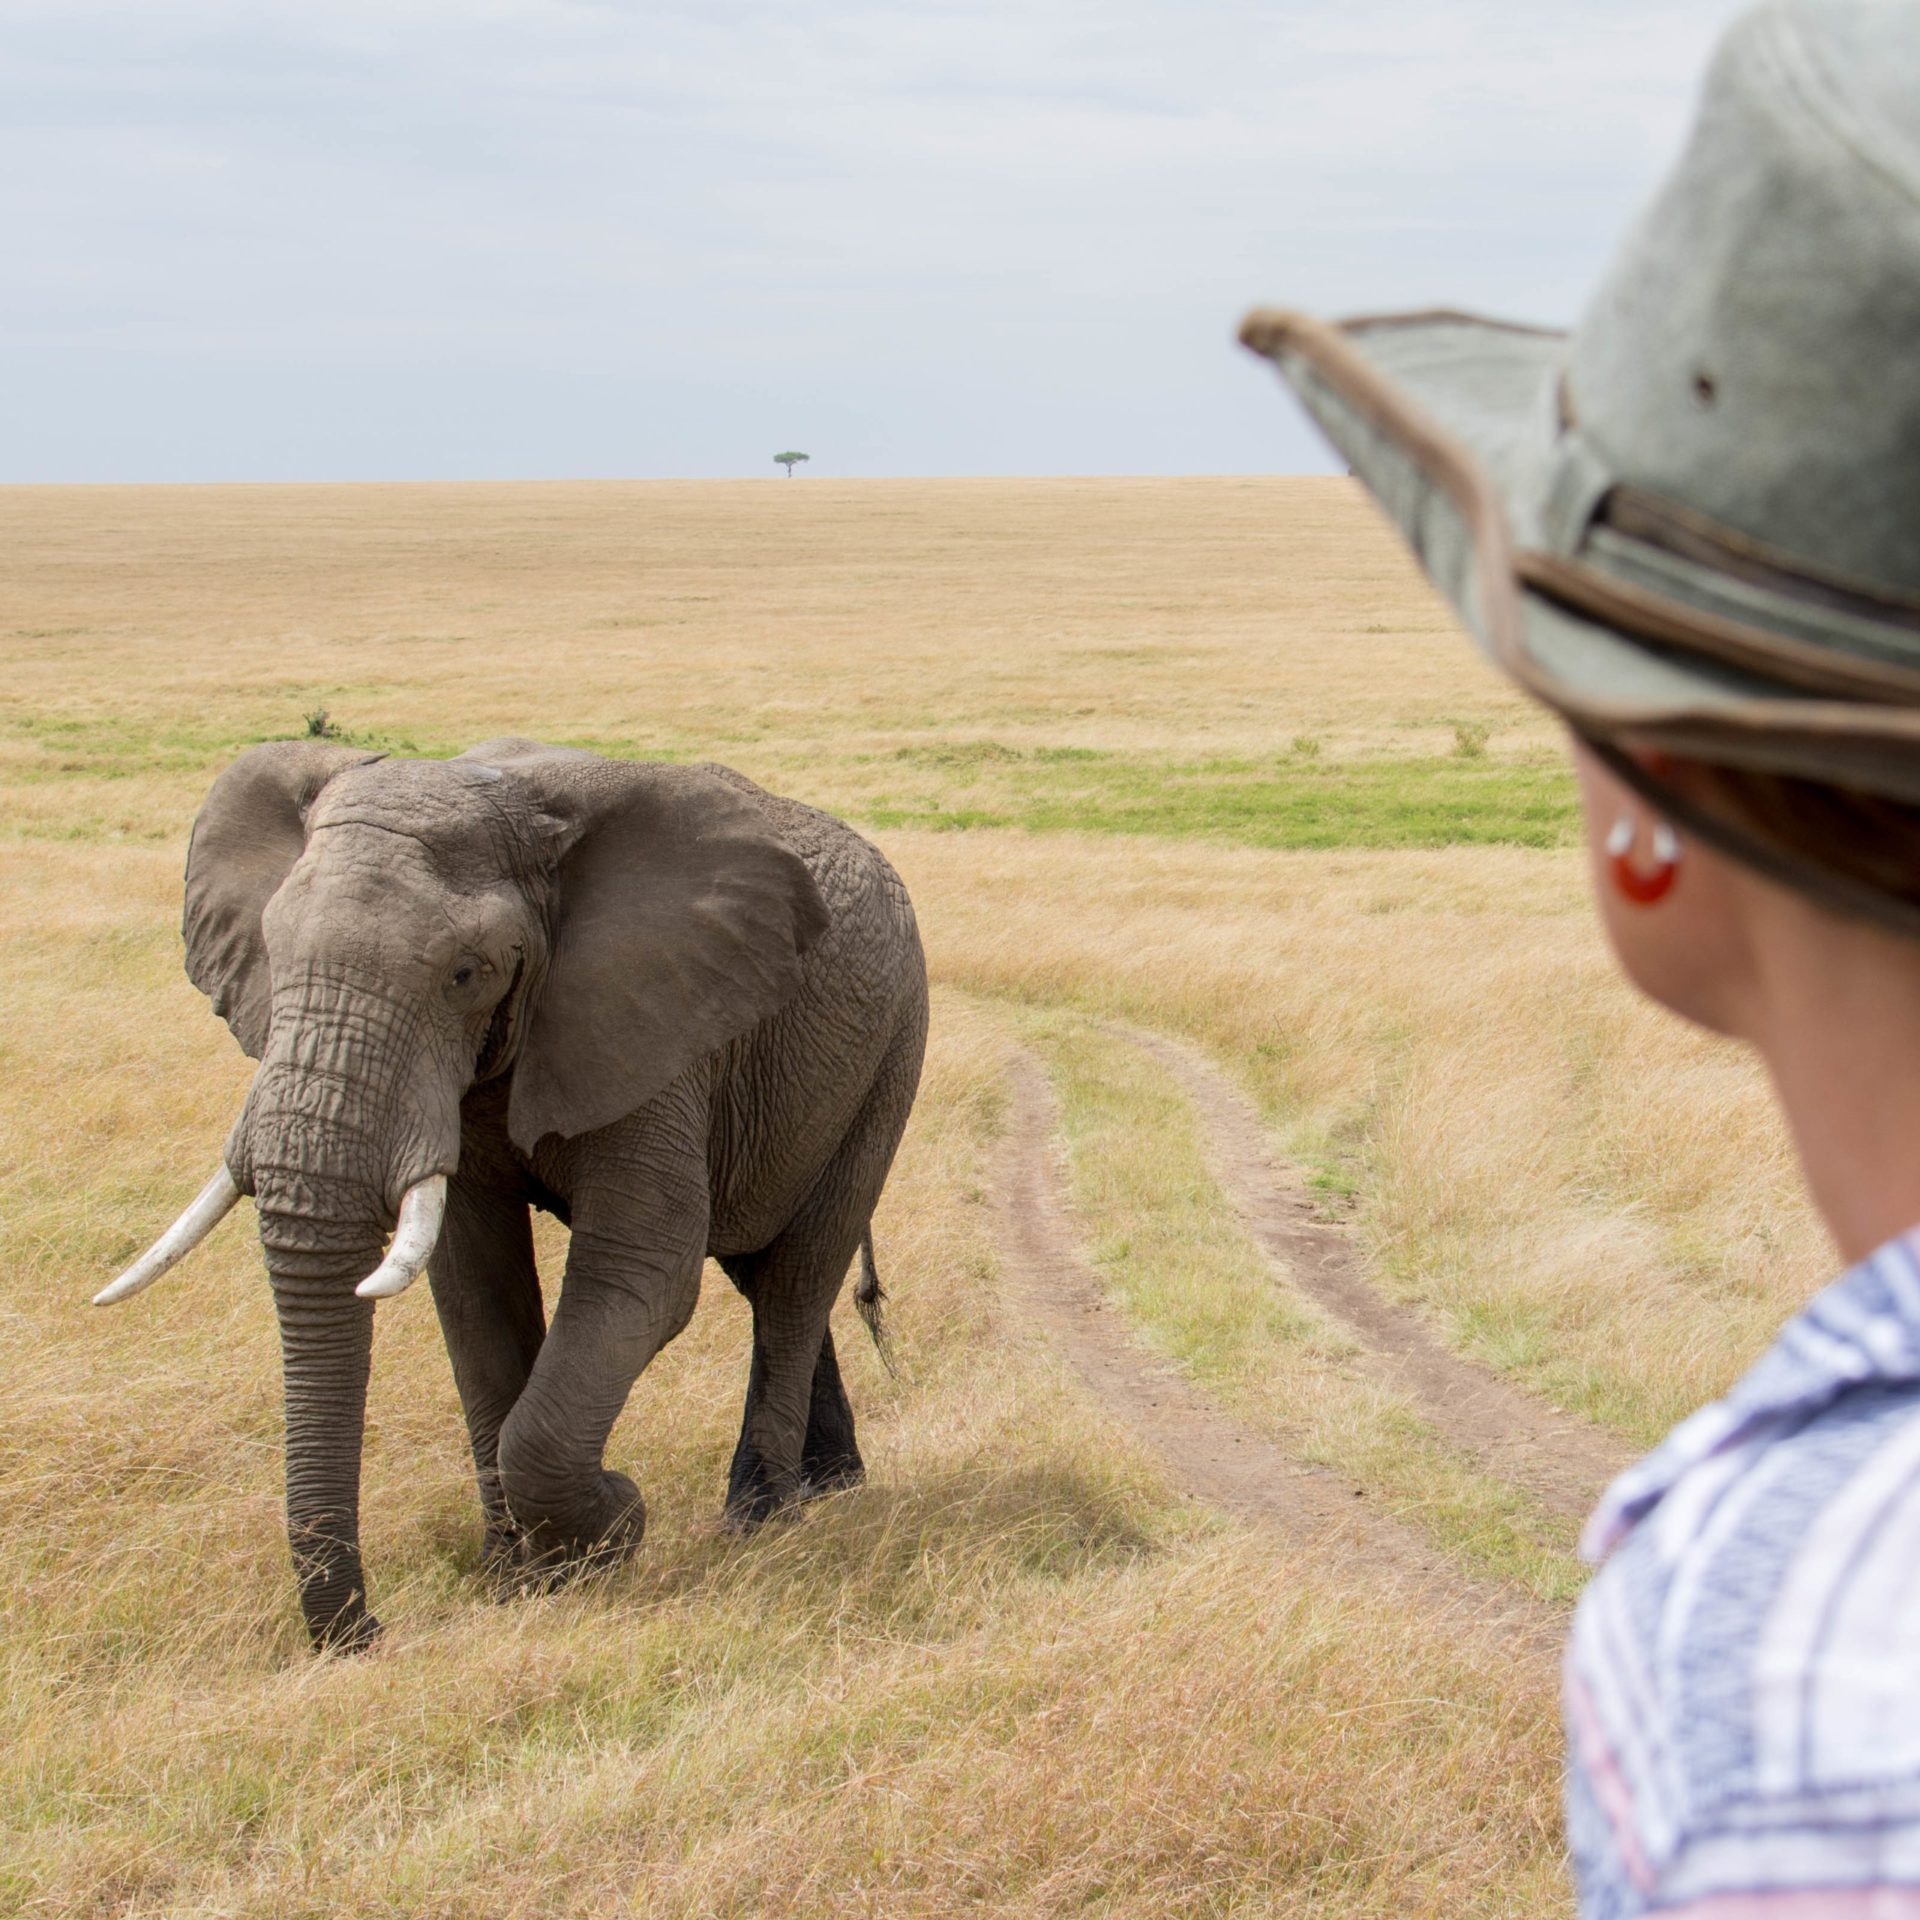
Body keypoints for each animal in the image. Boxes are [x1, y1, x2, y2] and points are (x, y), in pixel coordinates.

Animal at [98, 737, 928, 1652]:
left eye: (468, 973)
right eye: (273, 954)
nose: (366, 1634)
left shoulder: (657, 1025)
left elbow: (643, 1272)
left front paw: (611, 1528)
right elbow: (474, 1286)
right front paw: (516, 1579)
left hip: (889, 1050)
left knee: (794, 1278)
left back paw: (761, 1520)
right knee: (763, 1274)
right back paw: (832, 1485)